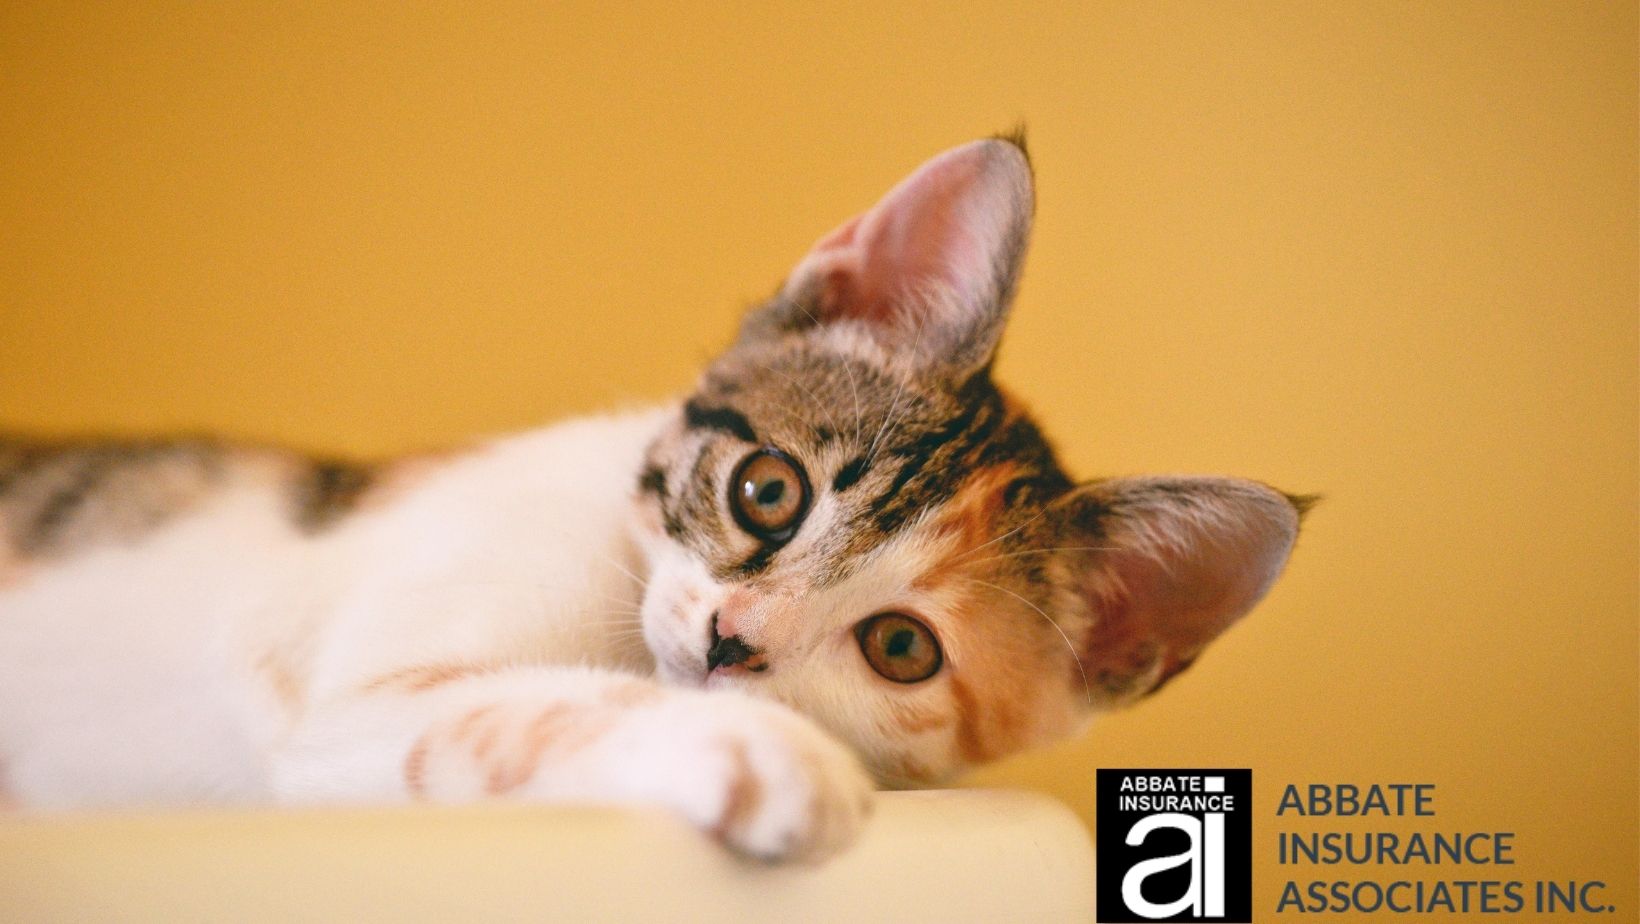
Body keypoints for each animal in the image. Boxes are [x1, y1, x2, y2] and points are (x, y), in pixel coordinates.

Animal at [0, 135, 1308, 862]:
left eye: (900, 648)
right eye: (767, 492)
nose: (733, 644)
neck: (623, 607)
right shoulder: (343, 712)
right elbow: (518, 706)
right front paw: (756, 753)